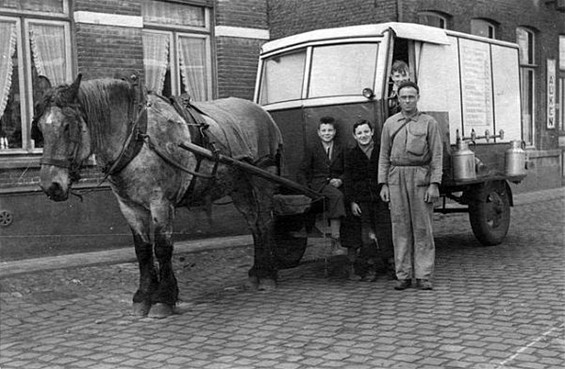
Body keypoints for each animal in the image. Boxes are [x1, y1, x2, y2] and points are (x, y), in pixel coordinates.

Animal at [33, 74, 284, 316]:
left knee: (265, 222)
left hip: (262, 181)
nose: (50, 185)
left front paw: (164, 298)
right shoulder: (129, 206)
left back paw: (268, 275)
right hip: (239, 188)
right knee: (254, 224)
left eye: (67, 126)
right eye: (40, 128)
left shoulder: (161, 203)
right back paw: (257, 272)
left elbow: (162, 248)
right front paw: (143, 296)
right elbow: (143, 250)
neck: (137, 136)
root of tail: (263, 113)